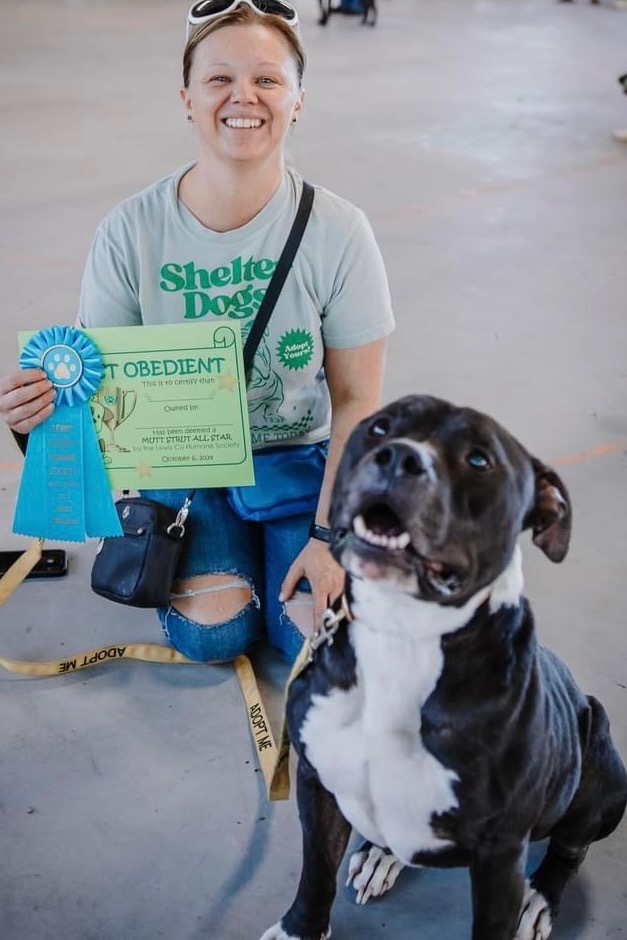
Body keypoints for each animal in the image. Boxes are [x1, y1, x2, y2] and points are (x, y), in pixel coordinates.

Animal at [262, 394, 627, 940]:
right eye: (379, 428)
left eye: (479, 459)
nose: (398, 457)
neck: (402, 637)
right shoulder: (316, 781)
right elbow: (316, 872)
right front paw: (298, 929)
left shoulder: (501, 856)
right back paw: (382, 856)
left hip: (600, 770)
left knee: (571, 846)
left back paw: (541, 896)